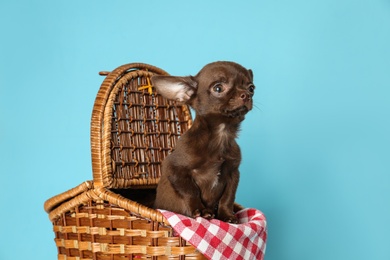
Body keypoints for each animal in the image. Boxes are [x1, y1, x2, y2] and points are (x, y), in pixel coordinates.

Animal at [151, 61, 254, 223]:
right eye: (218, 88)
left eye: (251, 88)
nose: (246, 95)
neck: (221, 135)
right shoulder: (174, 169)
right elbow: (191, 190)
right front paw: (201, 210)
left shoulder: (233, 173)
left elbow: (228, 197)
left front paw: (227, 215)